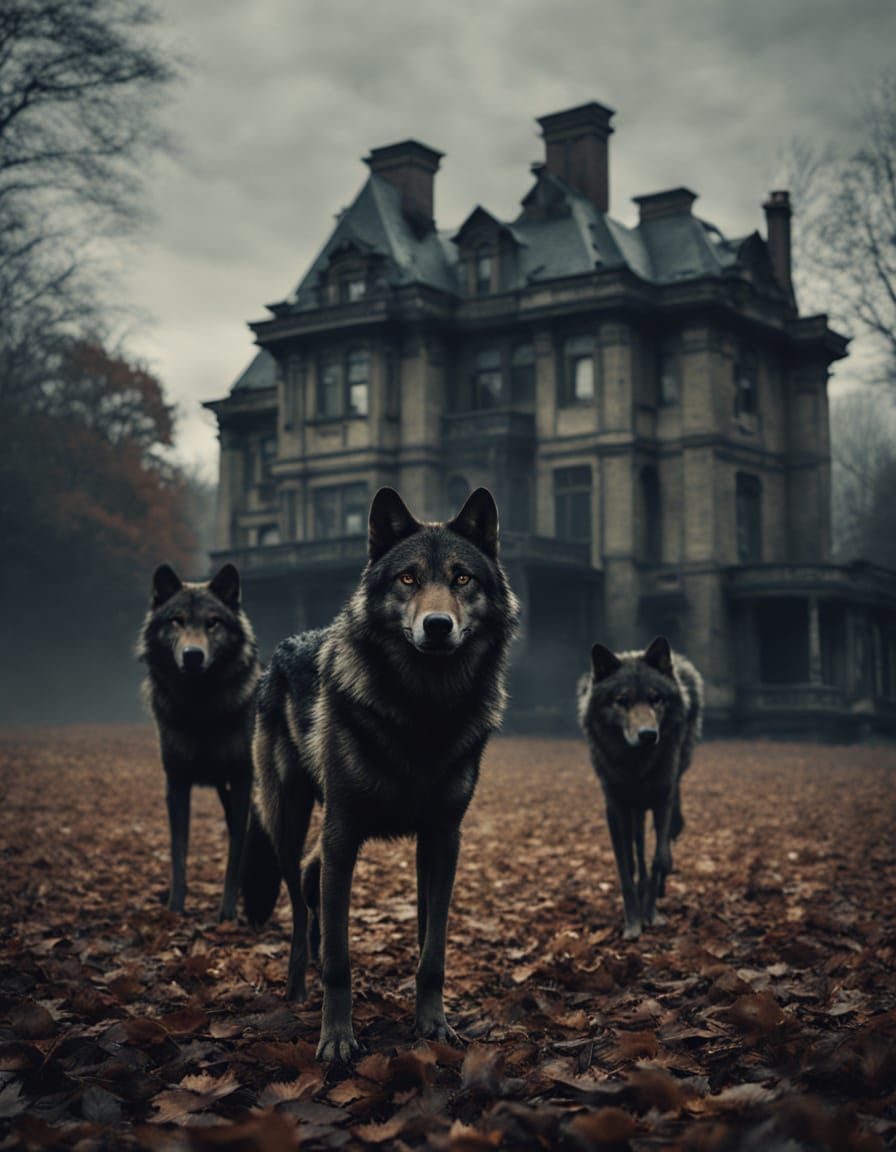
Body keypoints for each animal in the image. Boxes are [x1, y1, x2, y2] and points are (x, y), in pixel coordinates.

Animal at [137, 563, 261, 921]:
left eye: (213, 622)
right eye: (176, 620)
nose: (193, 656)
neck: (201, 707)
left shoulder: (242, 781)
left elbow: (235, 855)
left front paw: (228, 912)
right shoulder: (177, 783)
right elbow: (178, 854)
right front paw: (175, 908)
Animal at [241, 487, 519, 1061]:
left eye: (462, 578)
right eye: (408, 578)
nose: (437, 625)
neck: (424, 711)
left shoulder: (442, 838)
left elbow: (432, 951)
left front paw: (433, 1026)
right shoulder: (344, 833)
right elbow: (340, 961)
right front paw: (337, 1039)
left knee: (311, 879)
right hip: (290, 822)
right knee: (299, 910)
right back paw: (298, 990)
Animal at [577, 636, 703, 940]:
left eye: (656, 698)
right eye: (622, 701)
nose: (648, 735)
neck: (637, 766)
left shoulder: (662, 799)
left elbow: (658, 859)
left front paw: (651, 915)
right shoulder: (615, 808)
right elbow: (625, 868)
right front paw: (633, 923)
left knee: (660, 847)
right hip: (633, 810)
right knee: (637, 853)